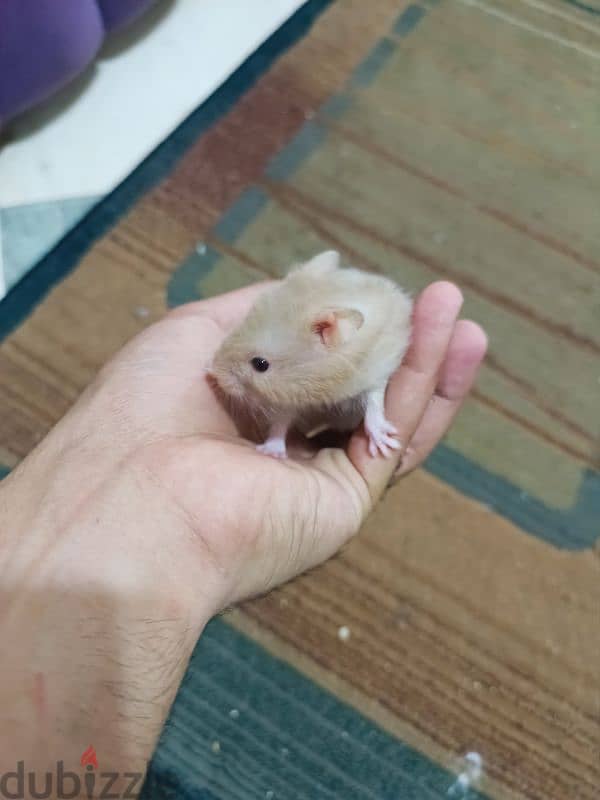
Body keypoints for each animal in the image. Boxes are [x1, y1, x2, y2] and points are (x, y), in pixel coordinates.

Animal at [211, 250, 412, 458]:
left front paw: (386, 445)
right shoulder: (290, 397)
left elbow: (374, 402)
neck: (323, 386)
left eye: (260, 364)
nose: (213, 373)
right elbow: (280, 423)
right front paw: (271, 452)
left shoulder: (376, 370)